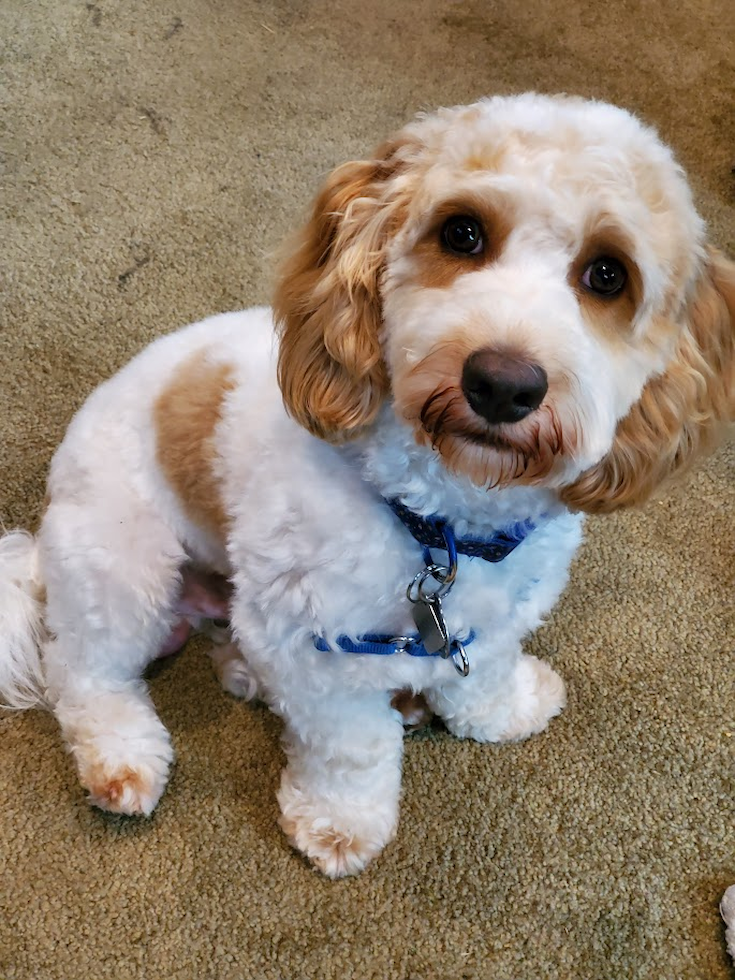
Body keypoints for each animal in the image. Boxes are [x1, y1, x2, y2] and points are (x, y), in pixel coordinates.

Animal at [1, 92, 735, 876]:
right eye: (462, 232)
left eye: (607, 275)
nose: (502, 384)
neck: (439, 523)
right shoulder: (316, 643)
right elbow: (351, 747)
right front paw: (340, 822)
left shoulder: (495, 612)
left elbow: (487, 672)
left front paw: (502, 711)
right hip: (122, 563)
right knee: (82, 669)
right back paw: (123, 755)